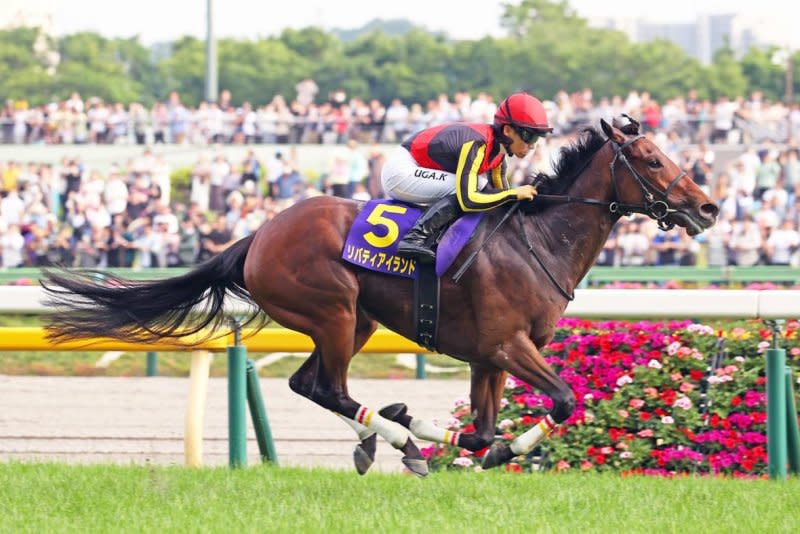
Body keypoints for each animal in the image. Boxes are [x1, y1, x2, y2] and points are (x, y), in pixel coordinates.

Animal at [42, 117, 720, 478]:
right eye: (652, 160)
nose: (709, 207)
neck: (539, 241)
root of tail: (259, 234)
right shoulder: (508, 346)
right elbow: (561, 401)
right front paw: (485, 444)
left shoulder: (488, 356)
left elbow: (482, 428)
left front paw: (479, 444)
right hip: (334, 310)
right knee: (329, 387)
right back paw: (397, 440)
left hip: (355, 321)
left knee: (310, 384)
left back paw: (388, 435)